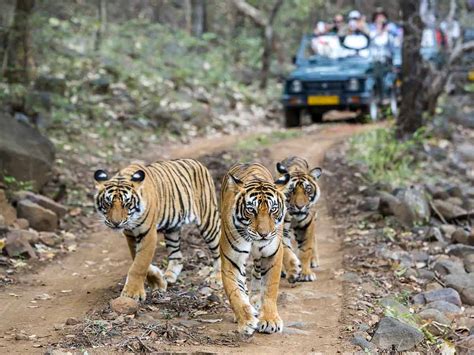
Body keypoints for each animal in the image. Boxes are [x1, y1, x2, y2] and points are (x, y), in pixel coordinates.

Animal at [93, 160, 221, 302]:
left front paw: (132, 293)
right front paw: (158, 282)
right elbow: (138, 259)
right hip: (172, 229)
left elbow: (140, 264)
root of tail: (198, 163)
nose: (116, 223)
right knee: (177, 255)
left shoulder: (148, 233)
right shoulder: (130, 235)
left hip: (208, 220)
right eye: (108, 203)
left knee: (219, 248)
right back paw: (169, 276)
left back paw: (217, 277)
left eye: (127, 204)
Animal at [220, 163, 290, 336]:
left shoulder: (272, 255)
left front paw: (270, 320)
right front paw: (246, 321)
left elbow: (270, 289)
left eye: (273, 209)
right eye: (251, 210)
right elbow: (235, 293)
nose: (264, 234)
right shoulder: (232, 260)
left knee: (257, 273)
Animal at [274, 156, 322, 284]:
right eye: (291, 190)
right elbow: (286, 251)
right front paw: (293, 271)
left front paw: (306, 273)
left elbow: (305, 250)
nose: (300, 206)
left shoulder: (307, 224)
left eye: (308, 190)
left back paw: (314, 261)